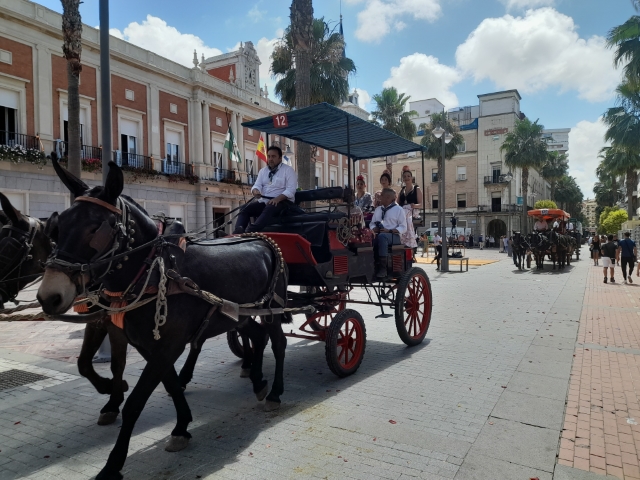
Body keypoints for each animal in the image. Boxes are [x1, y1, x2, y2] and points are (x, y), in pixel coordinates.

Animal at [37, 162, 290, 480]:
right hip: (238, 314)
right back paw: (257, 380)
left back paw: (275, 392)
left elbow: (136, 402)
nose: (49, 296)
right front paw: (181, 426)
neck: (154, 271)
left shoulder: (167, 345)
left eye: (97, 228)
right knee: (257, 336)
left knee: (278, 342)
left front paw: (113, 462)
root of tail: (263, 239)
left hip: (273, 308)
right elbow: (168, 383)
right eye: (58, 227)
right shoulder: (148, 345)